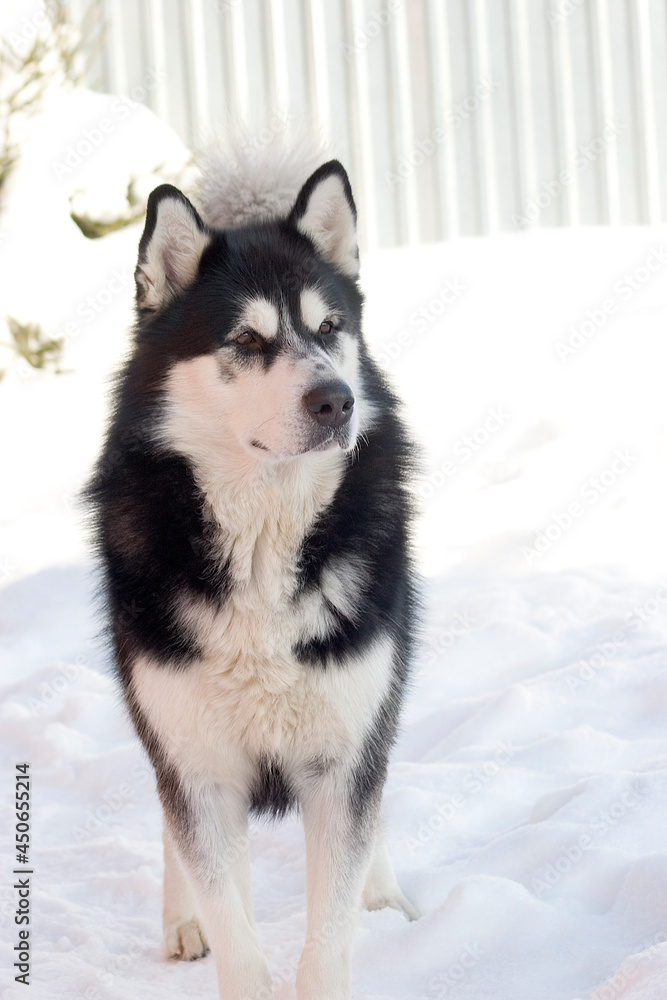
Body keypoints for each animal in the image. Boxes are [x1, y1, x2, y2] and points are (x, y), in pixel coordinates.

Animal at [87, 143, 420, 1000]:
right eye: (244, 340)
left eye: (330, 328)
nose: (336, 401)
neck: (264, 542)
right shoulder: (198, 764)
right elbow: (231, 922)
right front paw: (210, 928)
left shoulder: (339, 757)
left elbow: (328, 933)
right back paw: (182, 920)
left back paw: (383, 894)